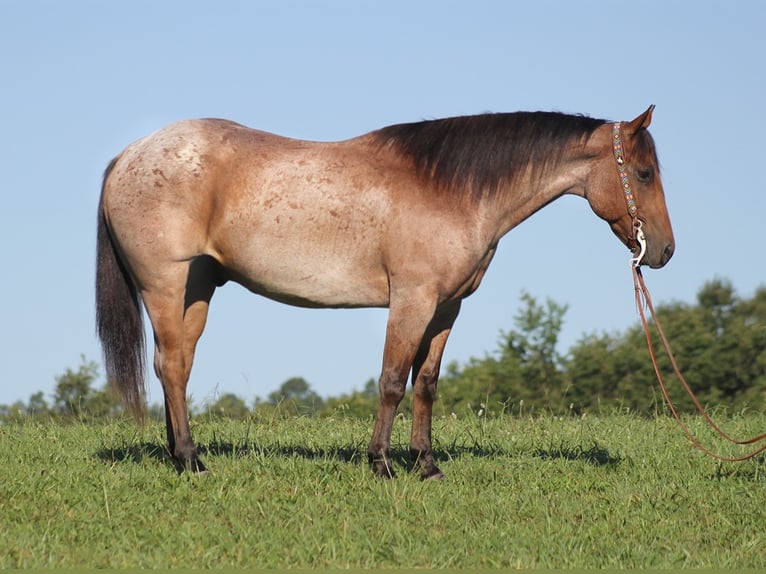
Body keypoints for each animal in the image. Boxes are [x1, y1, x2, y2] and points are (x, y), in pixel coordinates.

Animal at [97, 106, 680, 480]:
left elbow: (426, 385)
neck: (452, 190)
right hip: (165, 284)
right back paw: (190, 460)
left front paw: (427, 465)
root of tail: (128, 154)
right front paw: (380, 464)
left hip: (197, 290)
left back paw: (179, 453)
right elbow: (392, 382)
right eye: (643, 173)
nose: (664, 251)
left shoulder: (447, 307)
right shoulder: (412, 300)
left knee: (177, 365)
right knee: (171, 366)